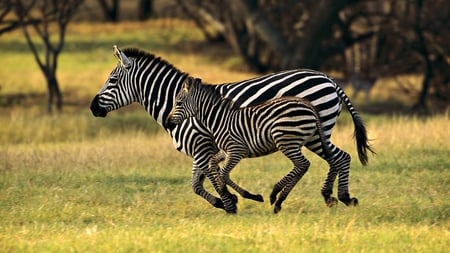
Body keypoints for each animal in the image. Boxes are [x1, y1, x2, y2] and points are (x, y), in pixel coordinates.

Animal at [169, 77, 334, 213]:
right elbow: (213, 164)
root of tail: (308, 106)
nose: (168, 122)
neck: (219, 120)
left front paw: (230, 196)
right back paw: (279, 200)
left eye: (178, 103)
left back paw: (276, 195)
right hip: (296, 141)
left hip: (286, 140)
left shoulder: (237, 150)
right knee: (304, 165)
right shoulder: (226, 151)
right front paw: (235, 196)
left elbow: (223, 174)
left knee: (302, 164)